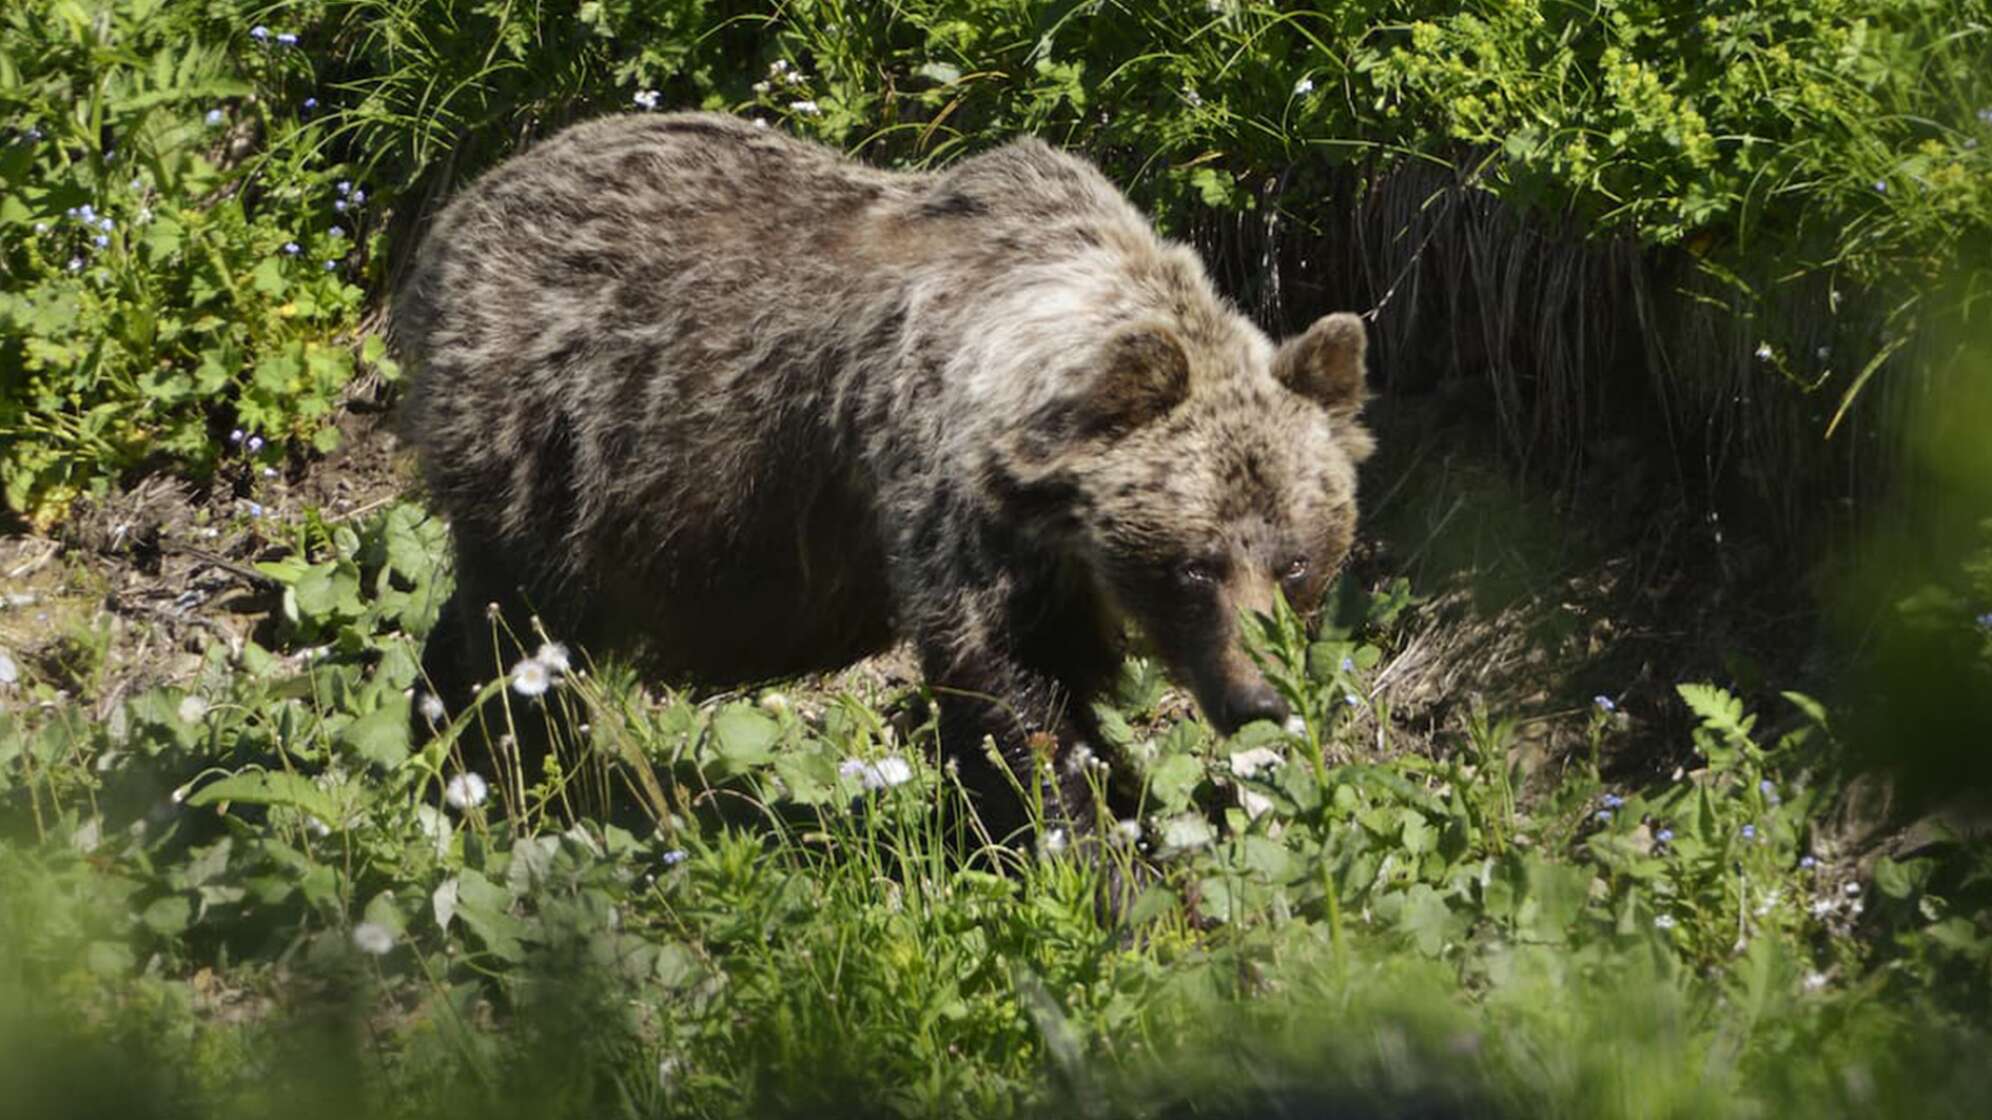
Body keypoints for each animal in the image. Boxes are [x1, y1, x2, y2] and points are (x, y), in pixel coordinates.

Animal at [393, 111, 1373, 841]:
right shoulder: (947, 499)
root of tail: (458, 211)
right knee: (516, 633)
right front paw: (1091, 851)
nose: (1260, 697)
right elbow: (1013, 695)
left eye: (1296, 560)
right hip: (552, 443)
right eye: (1195, 565)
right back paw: (499, 775)